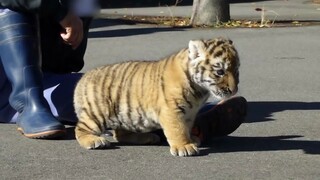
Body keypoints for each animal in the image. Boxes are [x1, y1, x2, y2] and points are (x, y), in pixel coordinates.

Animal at [74, 37, 239, 157]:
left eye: (236, 71)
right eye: (220, 72)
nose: (234, 90)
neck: (199, 90)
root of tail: (84, 78)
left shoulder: (190, 112)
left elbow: (186, 127)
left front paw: (191, 139)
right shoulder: (172, 110)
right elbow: (177, 129)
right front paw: (184, 146)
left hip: (126, 115)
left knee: (120, 134)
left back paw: (148, 138)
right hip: (97, 112)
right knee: (81, 129)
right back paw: (94, 141)